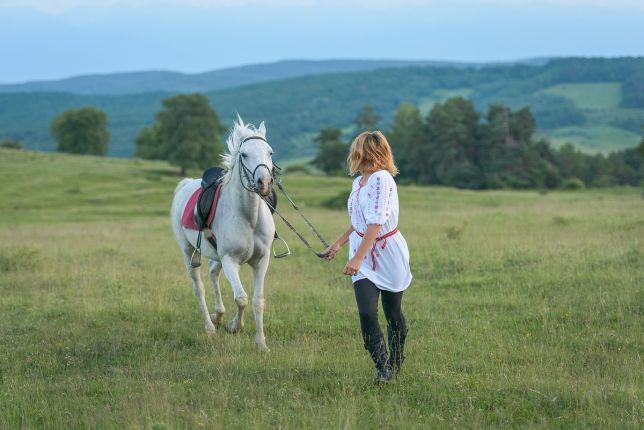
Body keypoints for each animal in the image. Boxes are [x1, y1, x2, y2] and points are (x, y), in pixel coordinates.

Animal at [170, 117, 276, 350]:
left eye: (270, 152)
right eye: (244, 154)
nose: (264, 183)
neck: (248, 217)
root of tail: (185, 184)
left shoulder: (261, 260)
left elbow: (258, 301)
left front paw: (261, 343)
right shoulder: (230, 260)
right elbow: (241, 298)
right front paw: (234, 326)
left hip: (215, 255)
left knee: (212, 273)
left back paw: (218, 315)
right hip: (189, 252)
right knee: (199, 287)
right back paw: (210, 326)